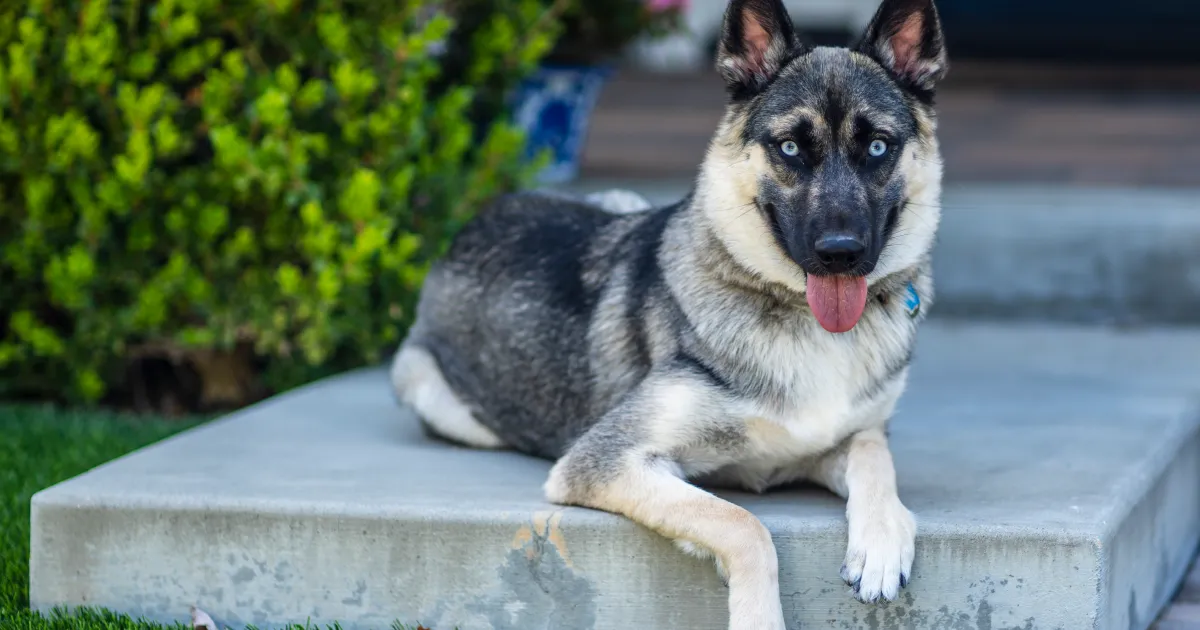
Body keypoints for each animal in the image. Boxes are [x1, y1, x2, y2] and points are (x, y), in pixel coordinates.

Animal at [393, 0, 945, 624]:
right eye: (789, 149)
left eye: (877, 147)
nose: (840, 252)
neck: (797, 311)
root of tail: (479, 218)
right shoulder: (610, 461)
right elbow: (743, 523)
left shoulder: (837, 443)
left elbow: (874, 453)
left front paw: (881, 539)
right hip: (427, 388)